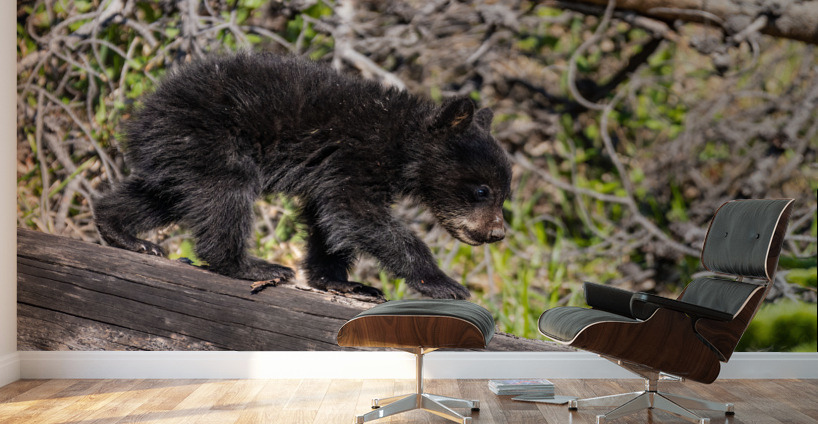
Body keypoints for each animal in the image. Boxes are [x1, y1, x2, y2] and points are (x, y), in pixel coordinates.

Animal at [93, 52, 512, 299]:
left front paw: (346, 282)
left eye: (504, 195)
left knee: (162, 194)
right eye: (481, 190)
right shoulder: (357, 157)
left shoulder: (330, 173)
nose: (496, 233)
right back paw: (252, 266)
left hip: (181, 153)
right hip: (214, 139)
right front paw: (445, 284)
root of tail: (146, 110)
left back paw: (125, 234)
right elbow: (358, 214)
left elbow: (328, 220)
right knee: (226, 195)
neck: (400, 145)